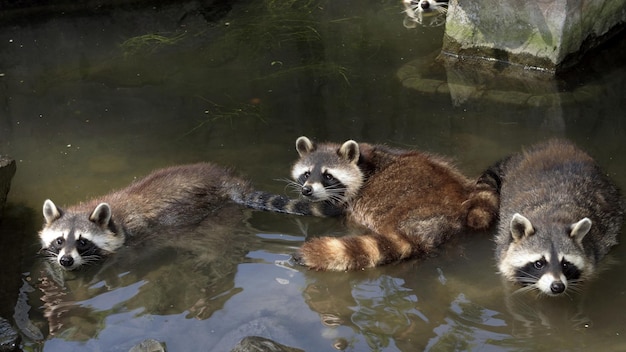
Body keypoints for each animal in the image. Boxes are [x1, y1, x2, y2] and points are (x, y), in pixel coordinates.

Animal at [39, 161, 342, 270]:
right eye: (59, 240)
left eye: (82, 241)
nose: (65, 261)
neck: (115, 221)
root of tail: (228, 181)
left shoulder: (138, 237)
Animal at [490, 139, 620, 296]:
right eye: (538, 263)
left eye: (565, 264)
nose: (558, 286)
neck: (550, 220)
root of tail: (555, 143)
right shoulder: (503, 246)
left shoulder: (596, 251)